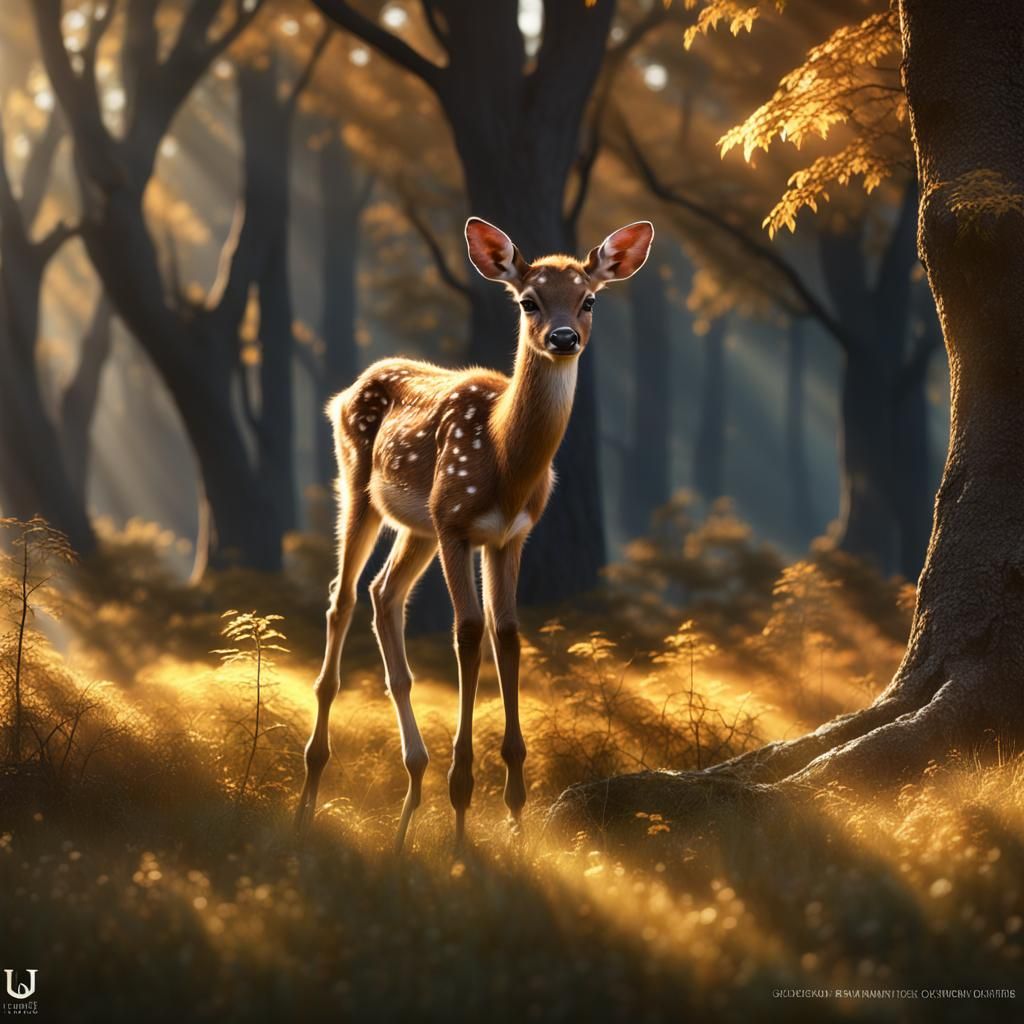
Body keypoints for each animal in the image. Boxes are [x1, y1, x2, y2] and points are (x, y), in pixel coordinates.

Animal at [295, 216, 654, 851]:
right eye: (528, 300)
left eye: (589, 299)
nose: (564, 337)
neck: (505, 459)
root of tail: (346, 391)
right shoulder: (456, 524)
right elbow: (467, 633)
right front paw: (462, 804)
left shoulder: (511, 536)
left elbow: (506, 633)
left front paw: (515, 808)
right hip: (361, 486)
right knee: (343, 596)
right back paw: (311, 793)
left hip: (416, 524)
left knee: (384, 593)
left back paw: (411, 794)